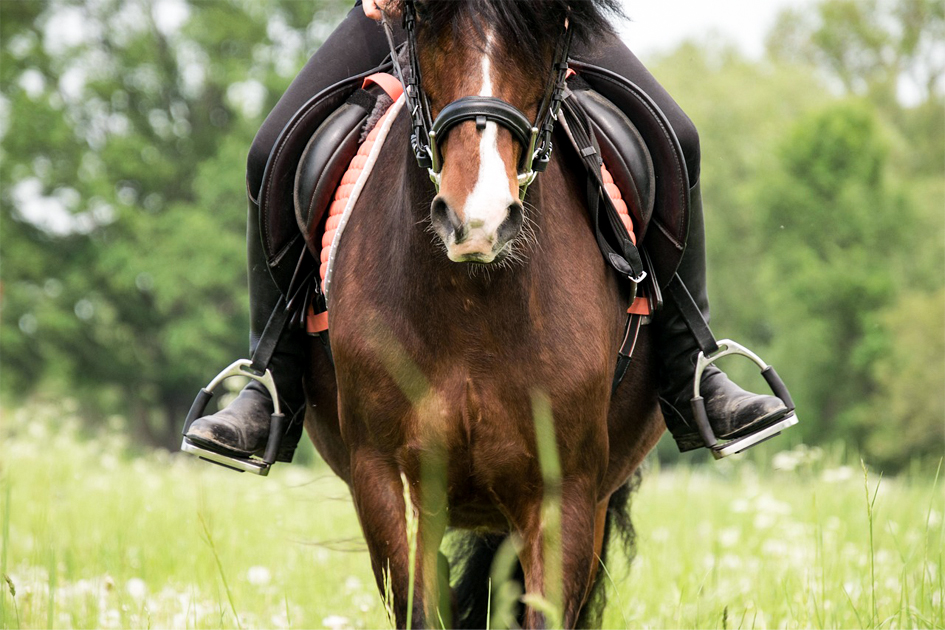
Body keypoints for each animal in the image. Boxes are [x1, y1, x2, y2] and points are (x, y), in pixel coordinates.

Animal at [301, 1, 664, 626]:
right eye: (424, 27)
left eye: (550, 35)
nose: (478, 220)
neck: (472, 312)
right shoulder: (386, 477)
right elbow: (419, 607)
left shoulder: (565, 492)